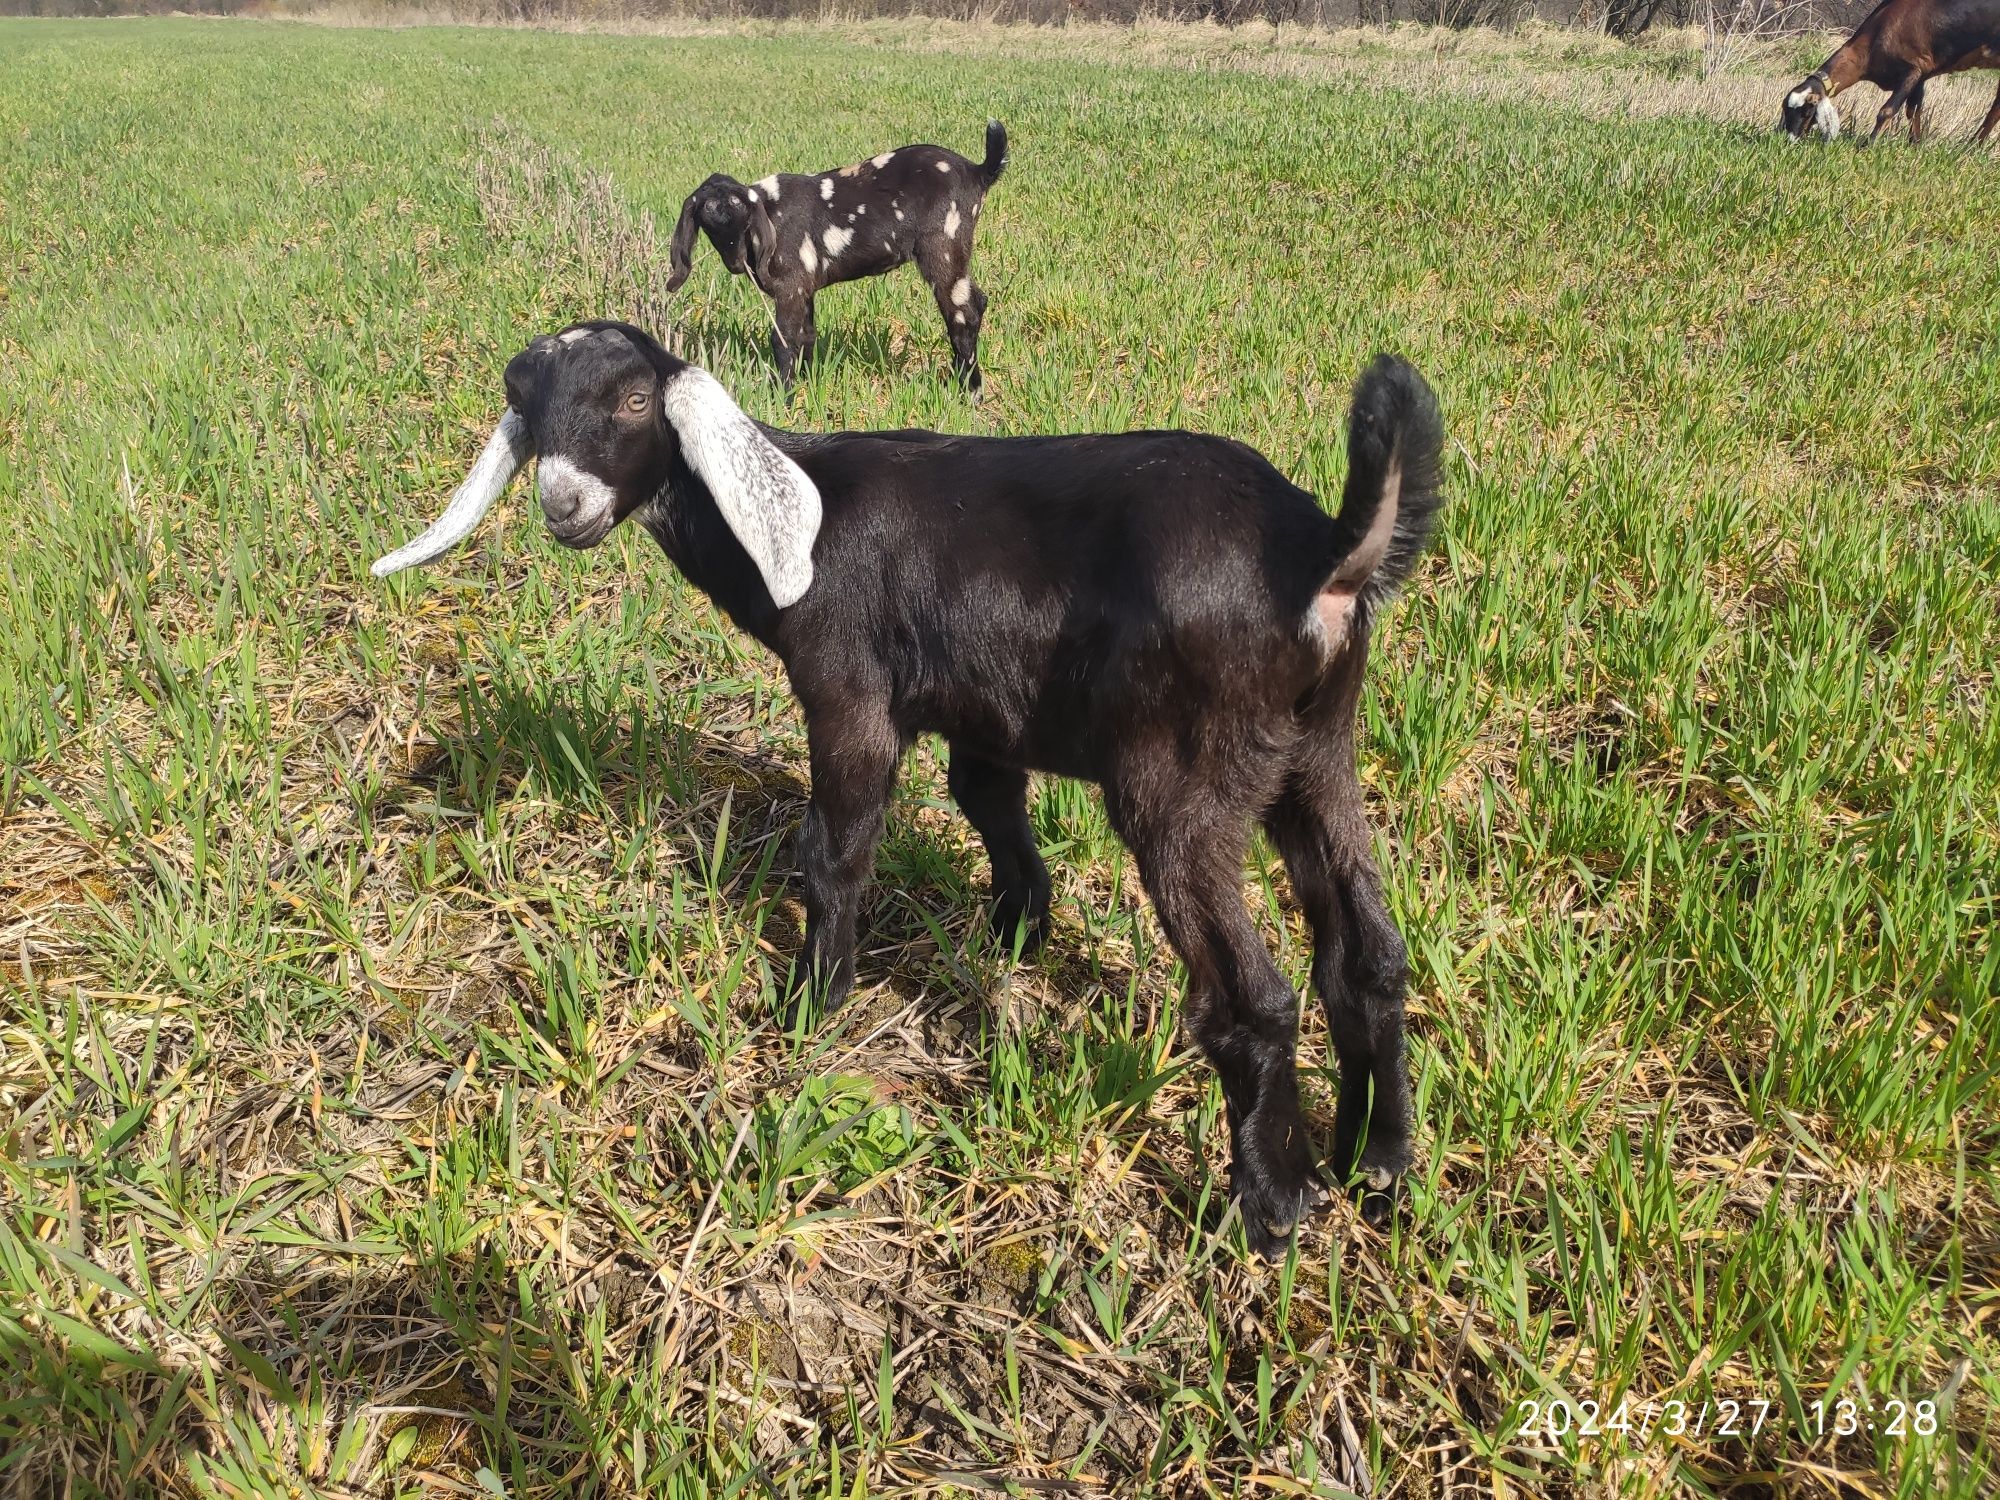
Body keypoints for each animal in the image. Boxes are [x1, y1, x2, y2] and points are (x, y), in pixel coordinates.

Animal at [1784, 0, 2000, 144]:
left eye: (1807, 111)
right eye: (1785, 109)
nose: (1789, 140)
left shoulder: (1912, 70)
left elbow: (1886, 111)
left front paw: (1868, 145)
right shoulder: (1921, 74)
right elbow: (1913, 110)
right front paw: (1915, 144)